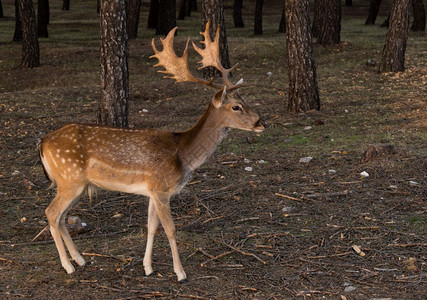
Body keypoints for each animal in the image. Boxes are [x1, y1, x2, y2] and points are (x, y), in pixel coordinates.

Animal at [41, 22, 268, 282]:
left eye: (245, 99)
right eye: (236, 106)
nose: (262, 122)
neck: (183, 154)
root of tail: (42, 142)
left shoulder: (152, 191)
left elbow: (151, 226)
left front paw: (148, 267)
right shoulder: (161, 189)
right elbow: (170, 229)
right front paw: (180, 273)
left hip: (75, 184)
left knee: (61, 217)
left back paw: (79, 259)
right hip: (70, 178)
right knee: (51, 213)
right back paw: (67, 266)